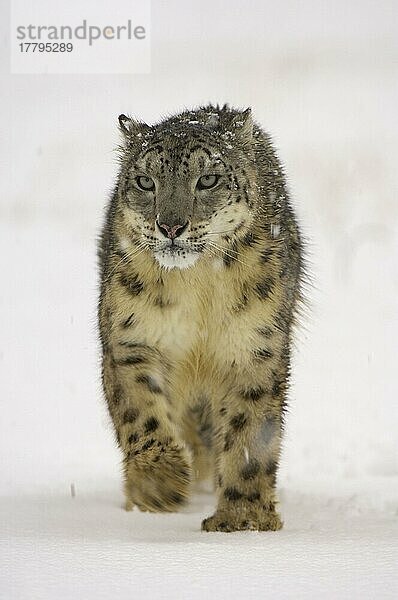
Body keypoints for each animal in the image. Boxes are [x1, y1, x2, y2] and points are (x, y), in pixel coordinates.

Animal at [98, 105, 306, 532]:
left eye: (207, 179)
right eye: (145, 181)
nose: (170, 225)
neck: (198, 288)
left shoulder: (255, 348)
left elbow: (250, 432)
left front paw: (243, 519)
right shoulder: (131, 338)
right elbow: (140, 411)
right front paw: (161, 483)